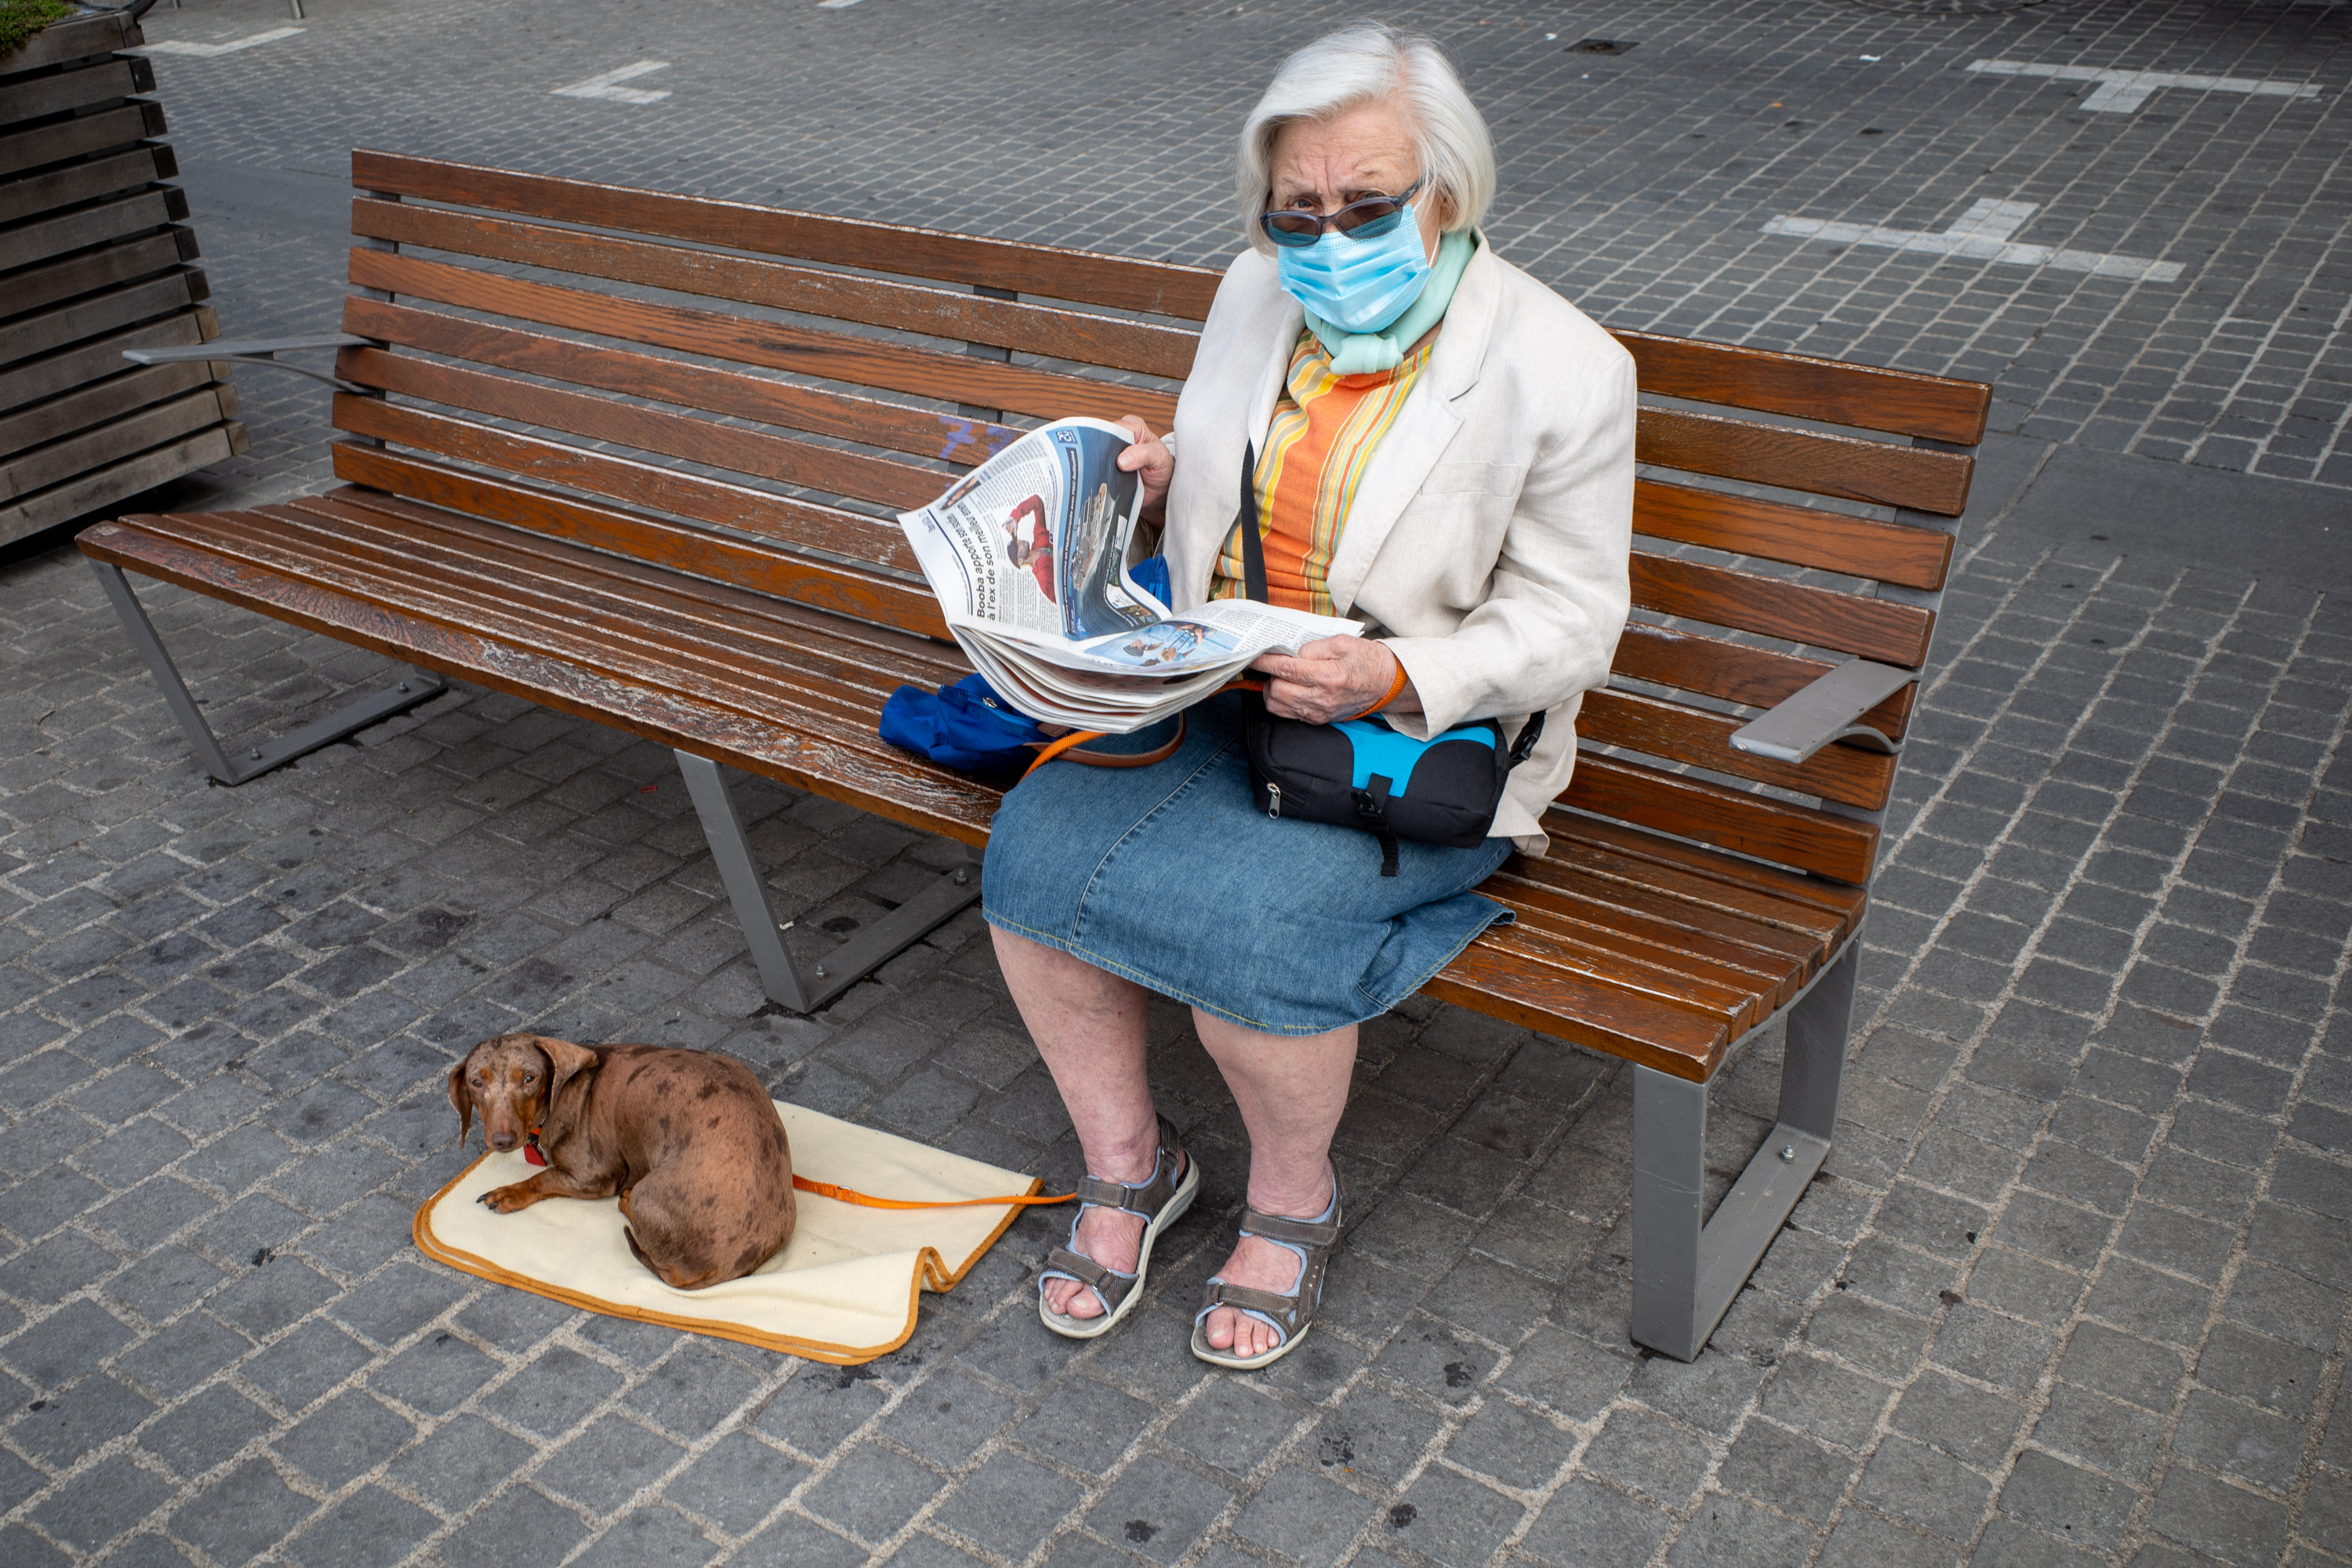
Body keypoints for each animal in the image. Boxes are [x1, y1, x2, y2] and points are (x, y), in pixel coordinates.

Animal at [449, 1029, 800, 1288]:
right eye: (476, 1082)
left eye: (529, 1079)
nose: (502, 1140)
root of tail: (717, 1268)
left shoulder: (596, 1178)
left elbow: (543, 1177)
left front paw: (509, 1193)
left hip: (646, 1191)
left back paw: (627, 1202)